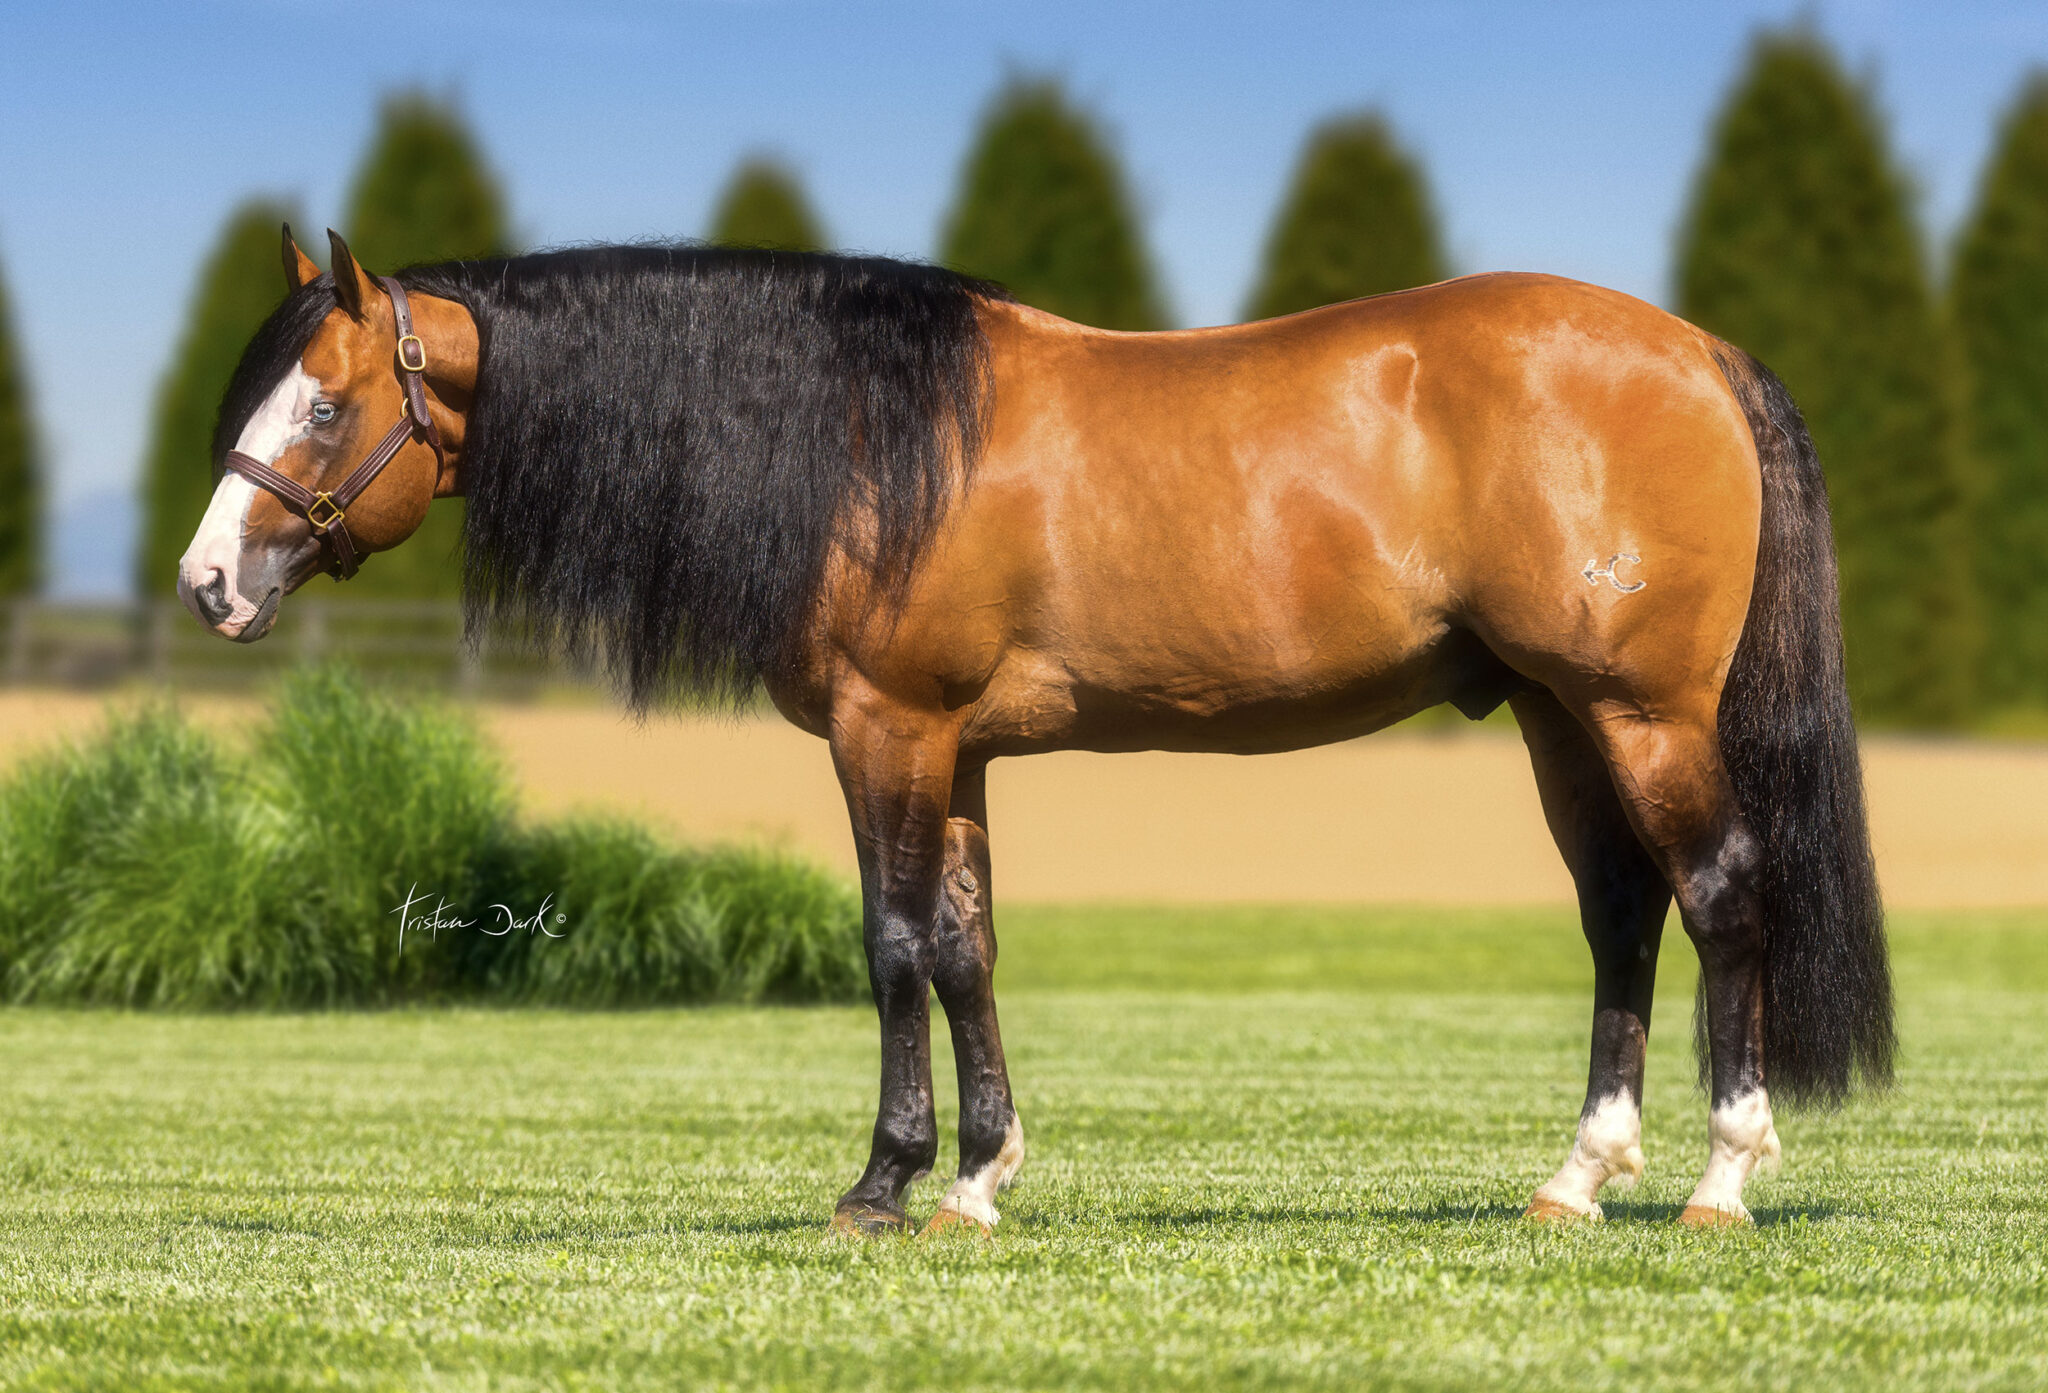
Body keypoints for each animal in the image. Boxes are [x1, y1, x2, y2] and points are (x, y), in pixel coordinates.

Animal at [178, 226, 1893, 1235]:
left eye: (320, 405)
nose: (207, 585)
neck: (869, 444)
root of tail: (1699, 353)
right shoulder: (961, 754)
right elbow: (967, 946)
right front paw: (980, 1178)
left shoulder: (887, 731)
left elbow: (888, 943)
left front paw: (881, 1184)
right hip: (1555, 715)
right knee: (1621, 914)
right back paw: (1576, 1180)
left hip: (1638, 710)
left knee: (1721, 895)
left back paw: (1722, 1180)